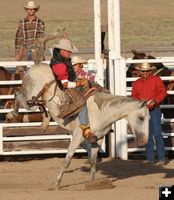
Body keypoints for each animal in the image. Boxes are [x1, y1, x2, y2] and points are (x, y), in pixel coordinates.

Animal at [12, 63, 150, 188]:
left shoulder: (98, 139)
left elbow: (93, 161)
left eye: (148, 118)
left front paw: (92, 183)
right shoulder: (77, 136)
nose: (144, 141)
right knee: (18, 94)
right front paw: (56, 183)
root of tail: (35, 66)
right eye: (141, 117)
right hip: (30, 100)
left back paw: (45, 122)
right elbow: (67, 161)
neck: (100, 112)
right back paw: (13, 112)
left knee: (38, 104)